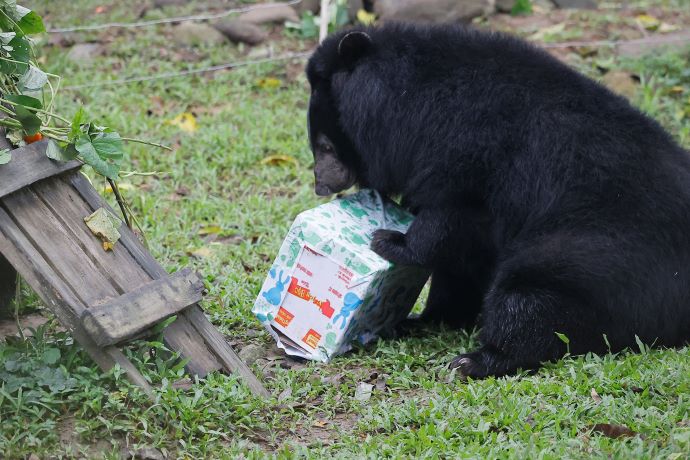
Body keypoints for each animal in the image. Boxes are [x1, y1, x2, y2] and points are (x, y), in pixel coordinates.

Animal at [306, 22, 688, 378]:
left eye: (325, 145)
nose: (321, 184)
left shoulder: (472, 155)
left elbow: (450, 218)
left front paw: (390, 241)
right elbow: (459, 263)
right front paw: (427, 319)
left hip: (602, 254)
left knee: (529, 296)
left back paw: (475, 360)